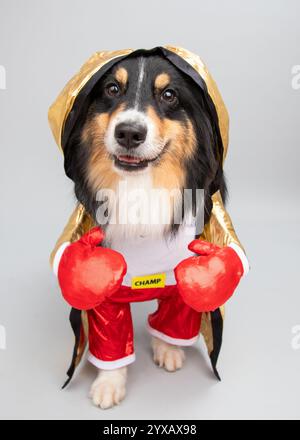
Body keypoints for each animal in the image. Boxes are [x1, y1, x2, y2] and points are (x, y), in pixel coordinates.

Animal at [61, 52, 227, 410]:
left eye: (169, 95)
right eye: (112, 88)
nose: (129, 133)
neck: (141, 189)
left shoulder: (182, 275)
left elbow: (175, 320)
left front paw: (168, 350)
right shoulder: (105, 292)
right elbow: (111, 344)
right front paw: (109, 385)